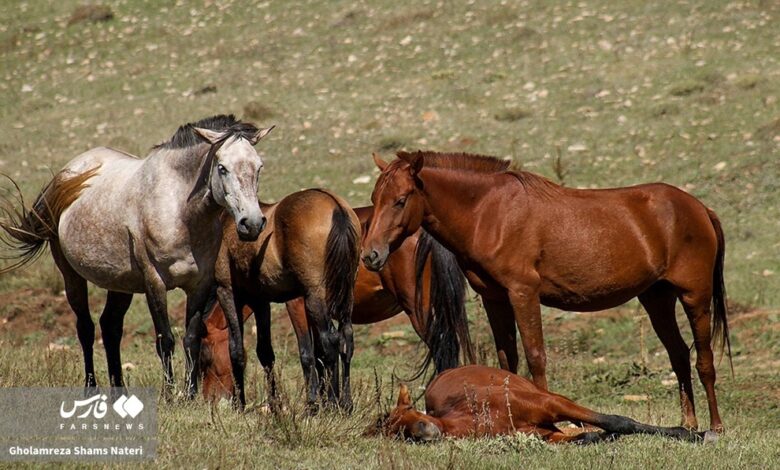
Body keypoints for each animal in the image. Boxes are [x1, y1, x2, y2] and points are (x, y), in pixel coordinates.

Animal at [0, 114, 274, 396]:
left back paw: (119, 392)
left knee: (110, 328)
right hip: (71, 275)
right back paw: (91, 389)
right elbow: (165, 340)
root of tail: (67, 175)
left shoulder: (199, 286)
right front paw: (168, 394)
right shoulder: (155, 283)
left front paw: (189, 394)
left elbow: (191, 338)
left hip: (120, 284)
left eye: (259, 167)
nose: (252, 224)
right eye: (222, 168)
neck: (180, 212)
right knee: (85, 328)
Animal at [198, 207, 472, 402]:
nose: (211, 400)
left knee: (442, 346)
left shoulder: (297, 307)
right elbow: (323, 353)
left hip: (417, 309)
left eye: (206, 357)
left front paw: (315, 403)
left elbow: (308, 354)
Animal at [364, 152, 732, 432]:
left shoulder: (523, 293)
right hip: (657, 299)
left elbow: (535, 357)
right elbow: (507, 360)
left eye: (400, 201)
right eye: (374, 200)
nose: (371, 255)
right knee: (679, 355)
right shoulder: (495, 298)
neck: (488, 212)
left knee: (704, 360)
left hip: (695, 297)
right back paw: (689, 424)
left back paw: (715, 427)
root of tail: (699, 208)